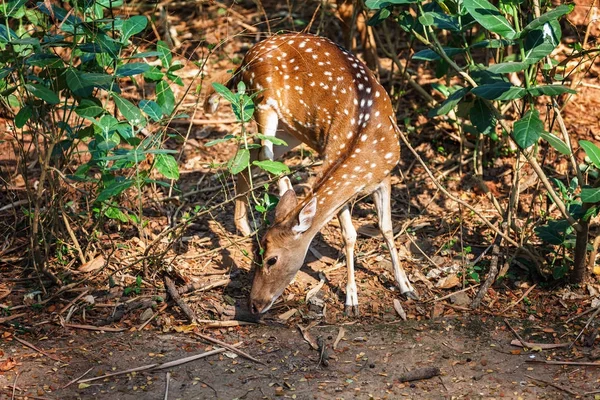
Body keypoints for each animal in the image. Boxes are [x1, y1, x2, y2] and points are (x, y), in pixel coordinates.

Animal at [206, 32, 418, 316]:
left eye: (271, 259)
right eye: (258, 255)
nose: (254, 304)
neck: (363, 149)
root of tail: (247, 56)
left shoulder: (386, 174)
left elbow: (385, 229)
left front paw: (406, 286)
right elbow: (349, 236)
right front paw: (351, 300)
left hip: (291, 130)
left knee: (250, 153)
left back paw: (247, 222)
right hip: (263, 103)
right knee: (263, 155)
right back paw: (268, 204)